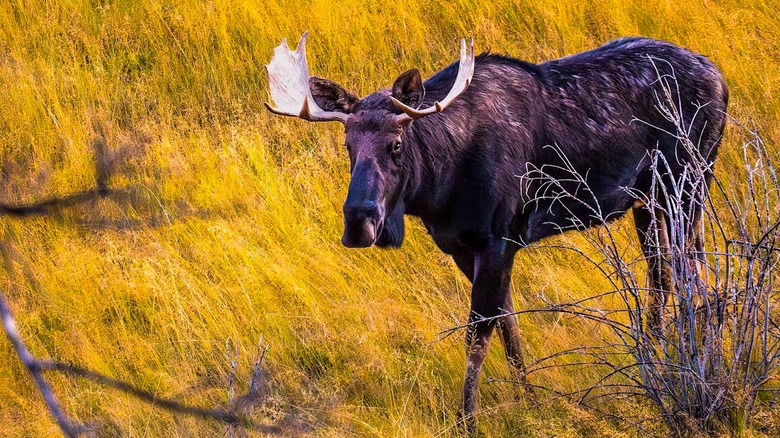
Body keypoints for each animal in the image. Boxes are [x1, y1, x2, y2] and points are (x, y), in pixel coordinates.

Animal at [266, 33, 728, 432]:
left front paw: (466, 419)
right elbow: (508, 324)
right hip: (648, 202)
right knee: (662, 274)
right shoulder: (461, 247)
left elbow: (479, 333)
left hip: (690, 185)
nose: (359, 221)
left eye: (395, 144)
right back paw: (654, 356)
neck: (440, 184)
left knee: (698, 276)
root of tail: (721, 78)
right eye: (347, 145)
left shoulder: (499, 240)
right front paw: (530, 397)